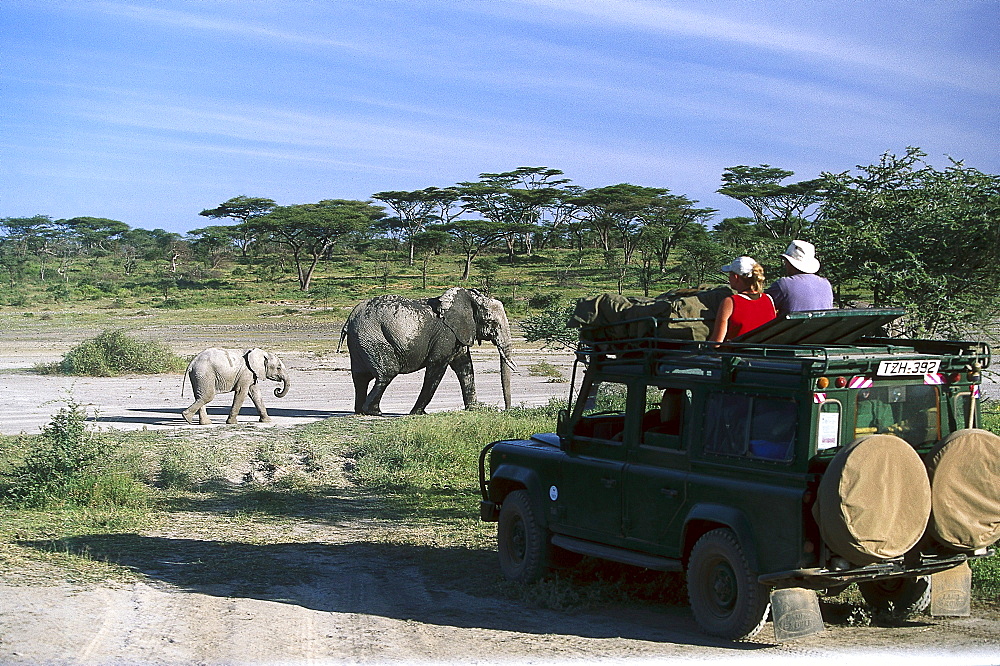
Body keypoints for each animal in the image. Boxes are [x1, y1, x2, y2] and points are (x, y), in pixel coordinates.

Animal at [342, 286, 516, 416]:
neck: (468, 298)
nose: (506, 410)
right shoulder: (446, 334)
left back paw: (360, 411)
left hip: (359, 342)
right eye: (491, 322)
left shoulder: (458, 334)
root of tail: (349, 320)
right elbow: (437, 367)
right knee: (387, 373)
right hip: (373, 336)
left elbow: (465, 367)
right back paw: (374, 412)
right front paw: (417, 413)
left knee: (361, 377)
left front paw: (474, 409)